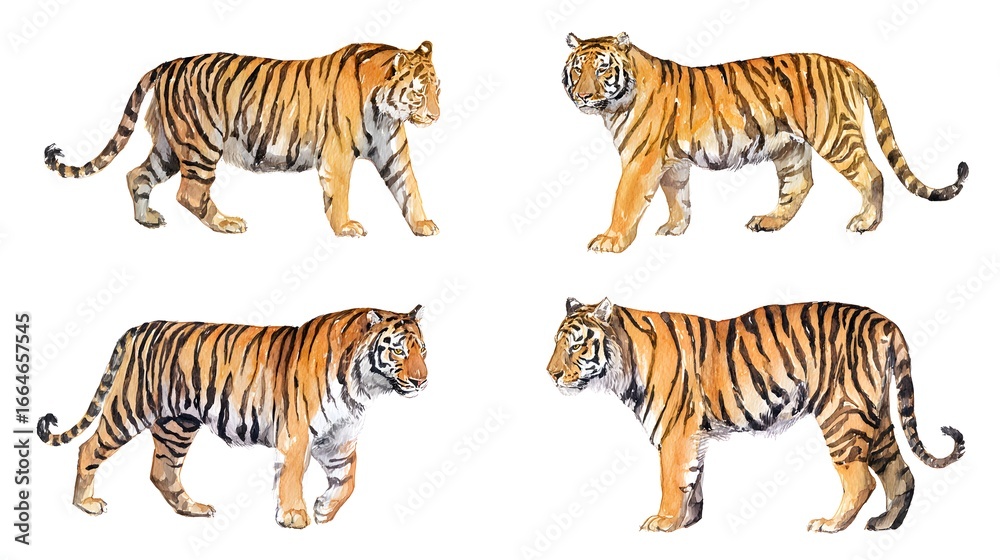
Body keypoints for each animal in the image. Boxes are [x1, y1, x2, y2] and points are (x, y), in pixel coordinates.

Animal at [36, 306, 428, 529]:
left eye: (422, 349)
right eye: (397, 350)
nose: (422, 380)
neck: (362, 386)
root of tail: (139, 327)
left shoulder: (340, 440)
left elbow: (348, 480)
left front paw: (324, 511)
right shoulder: (297, 435)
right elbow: (291, 478)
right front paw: (294, 517)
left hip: (177, 425)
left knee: (163, 471)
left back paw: (193, 509)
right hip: (128, 409)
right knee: (89, 449)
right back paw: (85, 504)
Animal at [43, 42, 441, 237]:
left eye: (438, 89)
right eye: (418, 92)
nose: (436, 116)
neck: (386, 112)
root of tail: (166, 65)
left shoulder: (393, 152)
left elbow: (410, 188)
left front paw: (423, 225)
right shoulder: (338, 155)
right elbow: (339, 196)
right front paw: (345, 228)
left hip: (171, 147)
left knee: (137, 175)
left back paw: (147, 220)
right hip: (201, 144)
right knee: (190, 194)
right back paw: (226, 223)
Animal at [546, 297, 964, 532]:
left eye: (577, 345)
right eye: (555, 343)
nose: (550, 374)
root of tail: (883, 321)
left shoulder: (675, 433)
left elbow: (671, 480)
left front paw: (663, 522)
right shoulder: (692, 434)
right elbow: (693, 479)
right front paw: (687, 522)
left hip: (842, 414)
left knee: (861, 481)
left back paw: (830, 525)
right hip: (874, 415)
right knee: (901, 472)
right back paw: (885, 525)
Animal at [562, 33, 969, 253]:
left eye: (602, 69)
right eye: (577, 69)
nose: (582, 96)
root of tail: (845, 63)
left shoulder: (640, 160)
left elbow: (625, 201)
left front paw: (609, 241)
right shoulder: (672, 162)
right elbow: (678, 196)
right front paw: (674, 229)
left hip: (835, 135)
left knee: (871, 174)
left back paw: (865, 222)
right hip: (790, 147)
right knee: (800, 184)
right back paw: (769, 221)